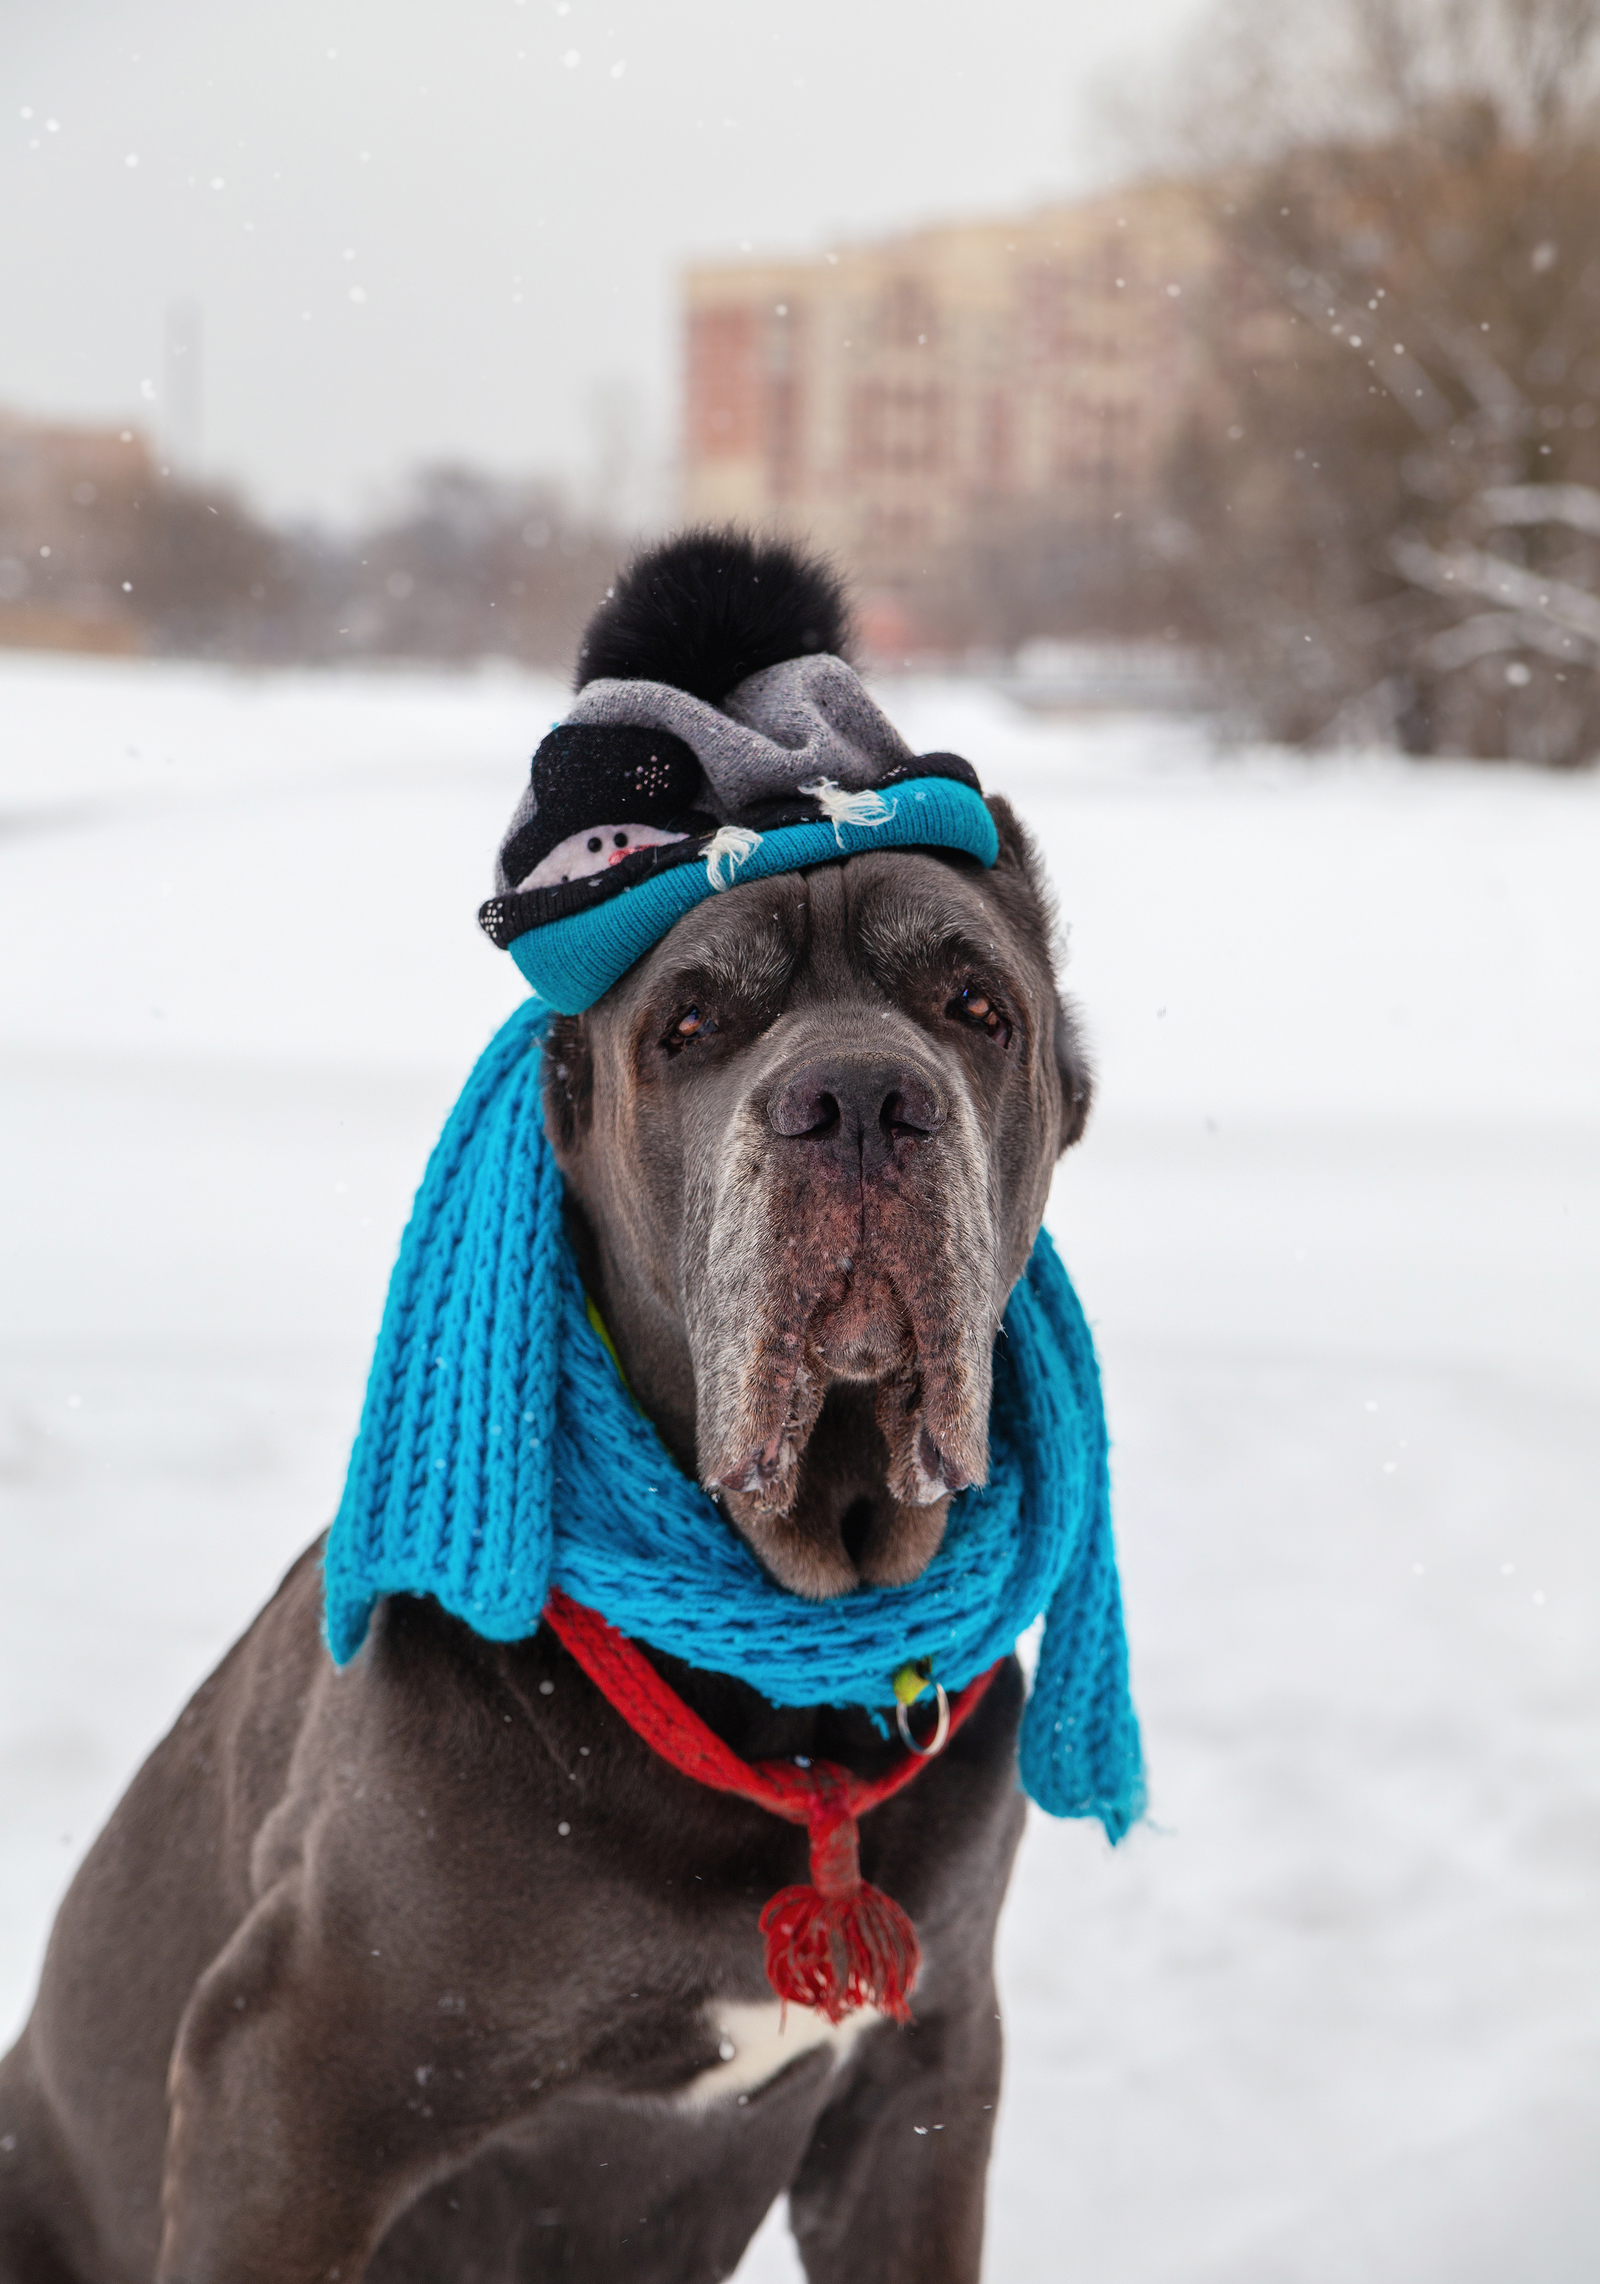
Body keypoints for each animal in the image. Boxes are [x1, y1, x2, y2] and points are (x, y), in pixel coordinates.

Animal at [0, 525, 1086, 2274]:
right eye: (692, 1022)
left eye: (976, 1007)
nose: (860, 1096)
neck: (783, 1661)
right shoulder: (283, 2079)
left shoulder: (922, 2081)